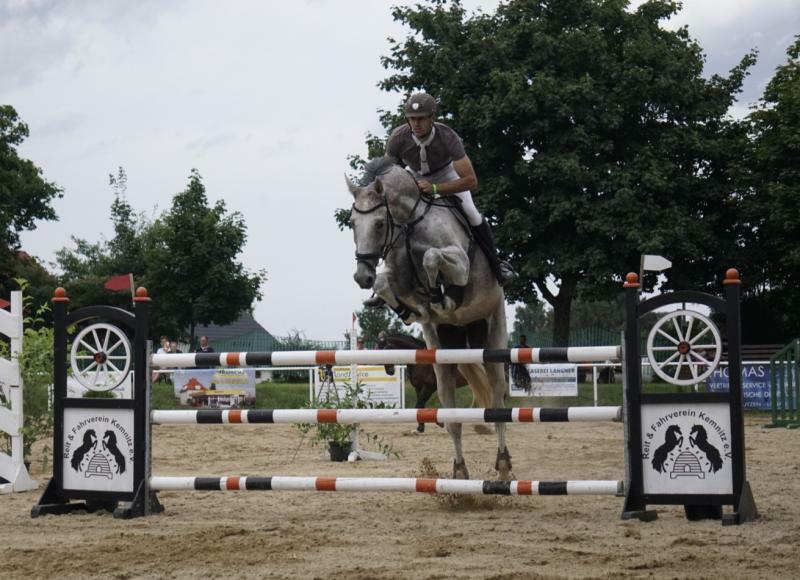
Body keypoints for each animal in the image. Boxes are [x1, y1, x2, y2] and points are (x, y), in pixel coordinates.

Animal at [346, 159, 510, 480]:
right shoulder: (399, 278)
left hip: (492, 331)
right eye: (352, 224)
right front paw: (409, 309)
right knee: (451, 413)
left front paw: (442, 295)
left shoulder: (459, 262)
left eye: (380, 223)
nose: (361, 277)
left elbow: (433, 258)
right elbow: (386, 283)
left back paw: (504, 466)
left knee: (497, 400)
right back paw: (460, 471)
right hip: (443, 350)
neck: (410, 225)